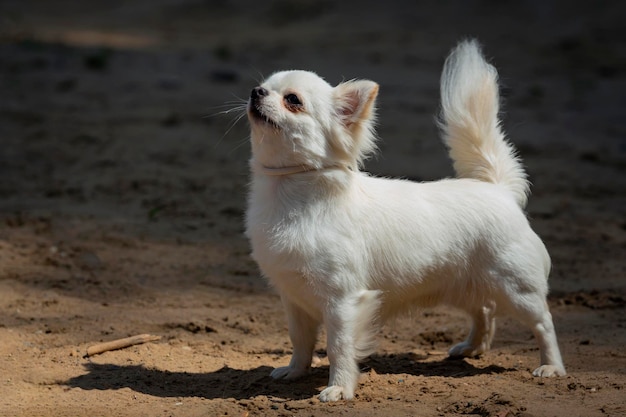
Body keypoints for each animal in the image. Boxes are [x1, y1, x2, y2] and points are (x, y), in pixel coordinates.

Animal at [244, 39, 564, 400]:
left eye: (293, 101)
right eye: (264, 86)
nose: (256, 91)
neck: (289, 192)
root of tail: (498, 189)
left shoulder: (343, 302)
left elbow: (339, 346)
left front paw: (338, 388)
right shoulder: (294, 299)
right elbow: (300, 341)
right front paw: (295, 372)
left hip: (516, 289)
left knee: (543, 322)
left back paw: (552, 367)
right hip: (463, 284)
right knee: (484, 310)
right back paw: (471, 348)